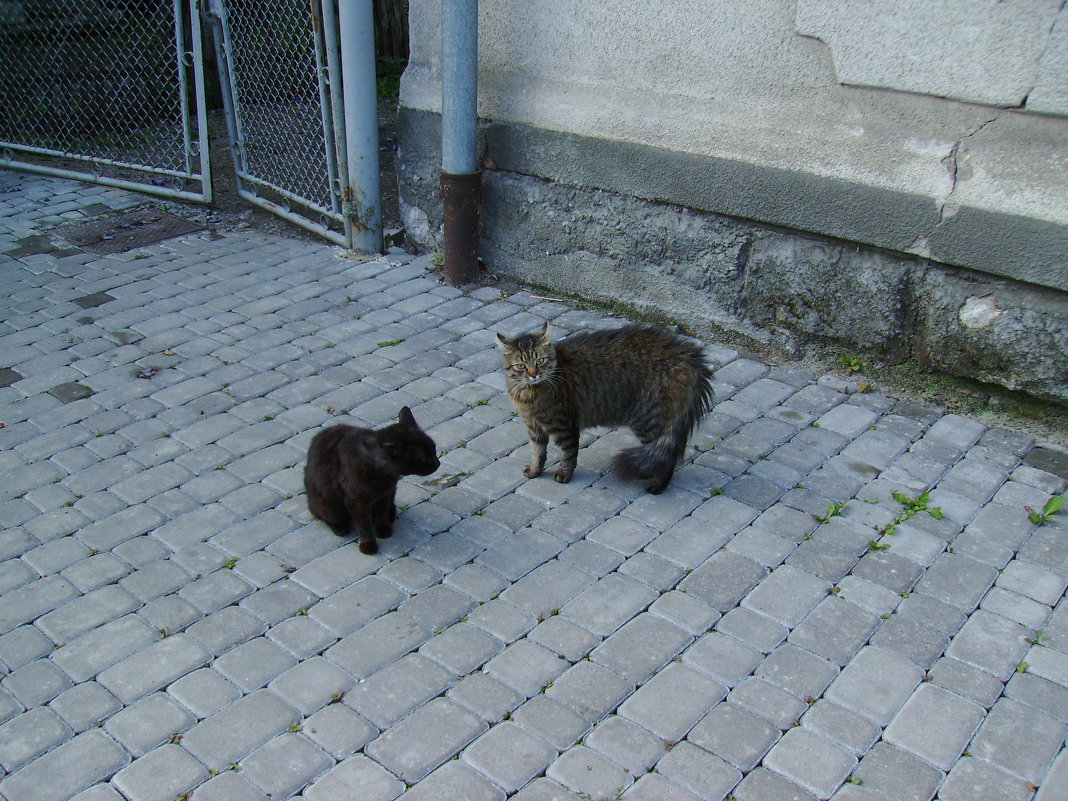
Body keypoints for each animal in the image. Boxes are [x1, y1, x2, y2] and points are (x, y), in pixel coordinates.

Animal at [303, 410, 440, 555]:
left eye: (434, 448)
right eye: (423, 459)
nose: (438, 463)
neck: (382, 474)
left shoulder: (385, 494)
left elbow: (381, 513)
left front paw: (383, 530)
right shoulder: (356, 502)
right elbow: (364, 525)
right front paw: (368, 545)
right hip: (327, 505)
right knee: (326, 516)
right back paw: (339, 528)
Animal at [495, 322, 713, 493]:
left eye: (540, 361)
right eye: (521, 366)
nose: (533, 374)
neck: (528, 393)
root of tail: (686, 352)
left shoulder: (563, 426)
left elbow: (567, 454)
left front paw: (564, 476)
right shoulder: (534, 426)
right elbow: (538, 453)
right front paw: (535, 471)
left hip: (648, 420)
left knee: (665, 457)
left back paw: (657, 485)